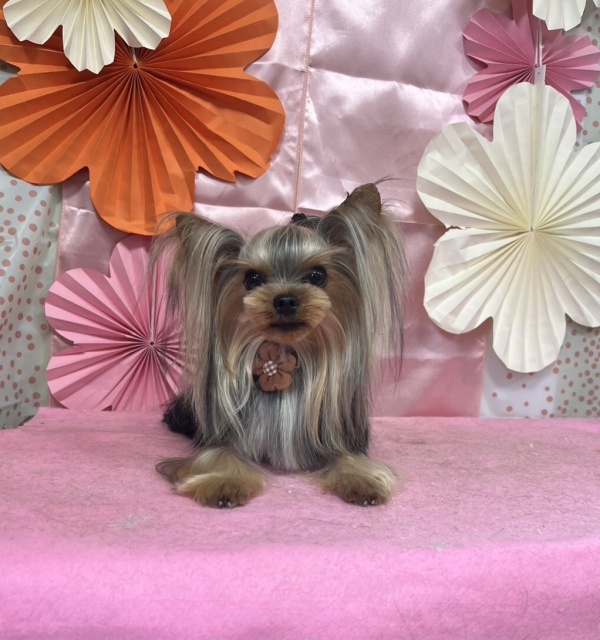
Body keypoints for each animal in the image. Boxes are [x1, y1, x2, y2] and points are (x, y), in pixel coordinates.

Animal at [154, 183, 406, 507]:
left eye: (318, 275)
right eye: (252, 278)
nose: (285, 300)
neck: (286, 352)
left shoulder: (336, 434)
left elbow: (348, 459)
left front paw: (362, 481)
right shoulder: (222, 436)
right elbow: (220, 456)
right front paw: (223, 483)